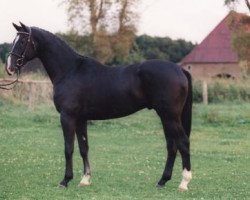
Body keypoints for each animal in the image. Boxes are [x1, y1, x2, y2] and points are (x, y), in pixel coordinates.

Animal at [6, 22, 193, 191]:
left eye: (22, 42)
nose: (9, 67)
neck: (70, 70)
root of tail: (179, 70)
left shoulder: (67, 117)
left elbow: (68, 148)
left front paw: (65, 181)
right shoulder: (81, 119)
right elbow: (83, 148)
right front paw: (85, 179)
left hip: (169, 116)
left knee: (183, 143)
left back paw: (184, 183)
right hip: (166, 117)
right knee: (172, 146)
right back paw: (162, 181)